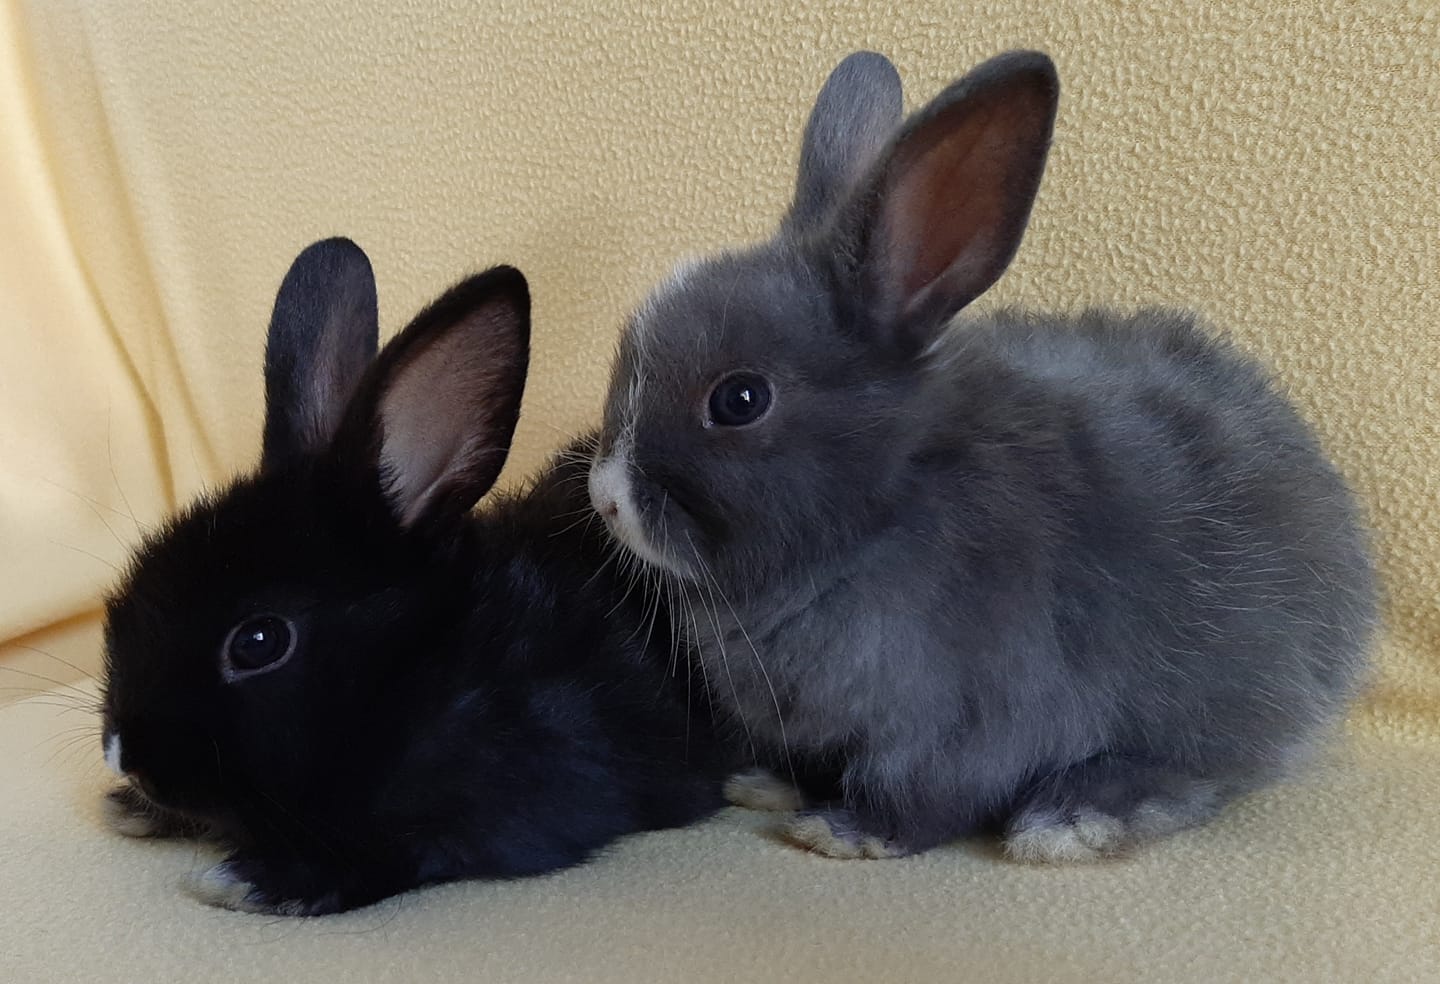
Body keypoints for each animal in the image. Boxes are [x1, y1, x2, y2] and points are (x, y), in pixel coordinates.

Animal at [99, 238, 726, 915]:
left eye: (258, 642)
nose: (121, 756)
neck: (418, 670)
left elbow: (403, 852)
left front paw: (248, 880)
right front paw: (132, 809)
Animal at [586, 50, 1377, 863]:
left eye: (739, 399)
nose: (606, 496)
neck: (880, 514)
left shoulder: (965, 716)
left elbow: (928, 792)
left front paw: (845, 831)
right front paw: (771, 783)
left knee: (1198, 771)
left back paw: (1073, 817)